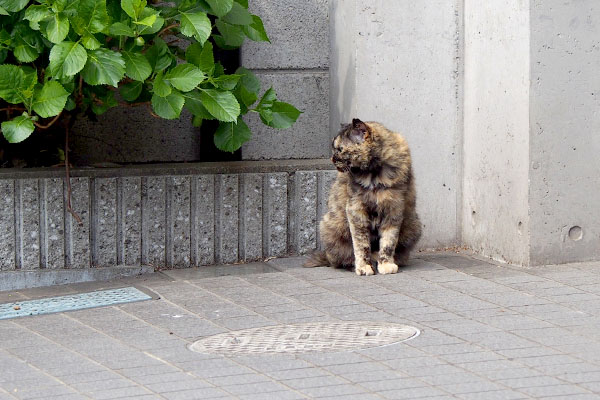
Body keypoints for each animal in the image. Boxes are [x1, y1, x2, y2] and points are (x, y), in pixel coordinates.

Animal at [308, 119, 420, 276]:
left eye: (340, 149)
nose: (332, 159)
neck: (375, 174)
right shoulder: (356, 209)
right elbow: (361, 244)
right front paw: (364, 267)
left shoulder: (394, 208)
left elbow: (389, 241)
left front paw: (386, 264)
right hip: (331, 226)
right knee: (340, 260)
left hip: (413, 226)